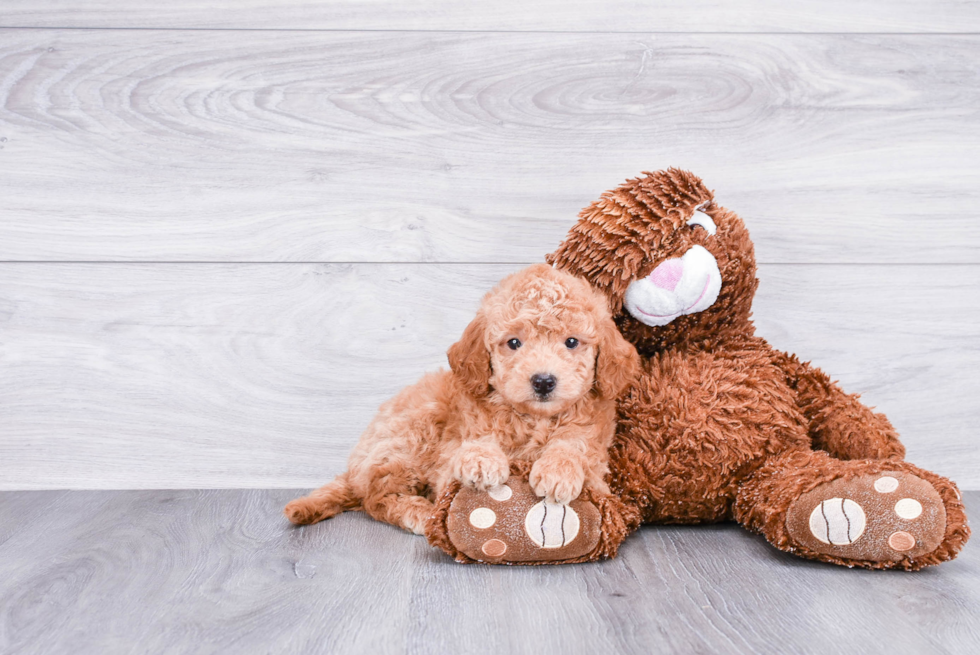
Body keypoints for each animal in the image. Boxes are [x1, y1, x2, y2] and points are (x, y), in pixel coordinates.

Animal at [284, 264, 640, 536]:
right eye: (513, 343)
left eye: (571, 342)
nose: (543, 381)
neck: (531, 420)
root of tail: (354, 466)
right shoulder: (450, 451)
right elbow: (473, 442)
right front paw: (481, 460)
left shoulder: (596, 455)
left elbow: (574, 443)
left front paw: (558, 470)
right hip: (414, 430)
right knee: (375, 495)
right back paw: (418, 512)